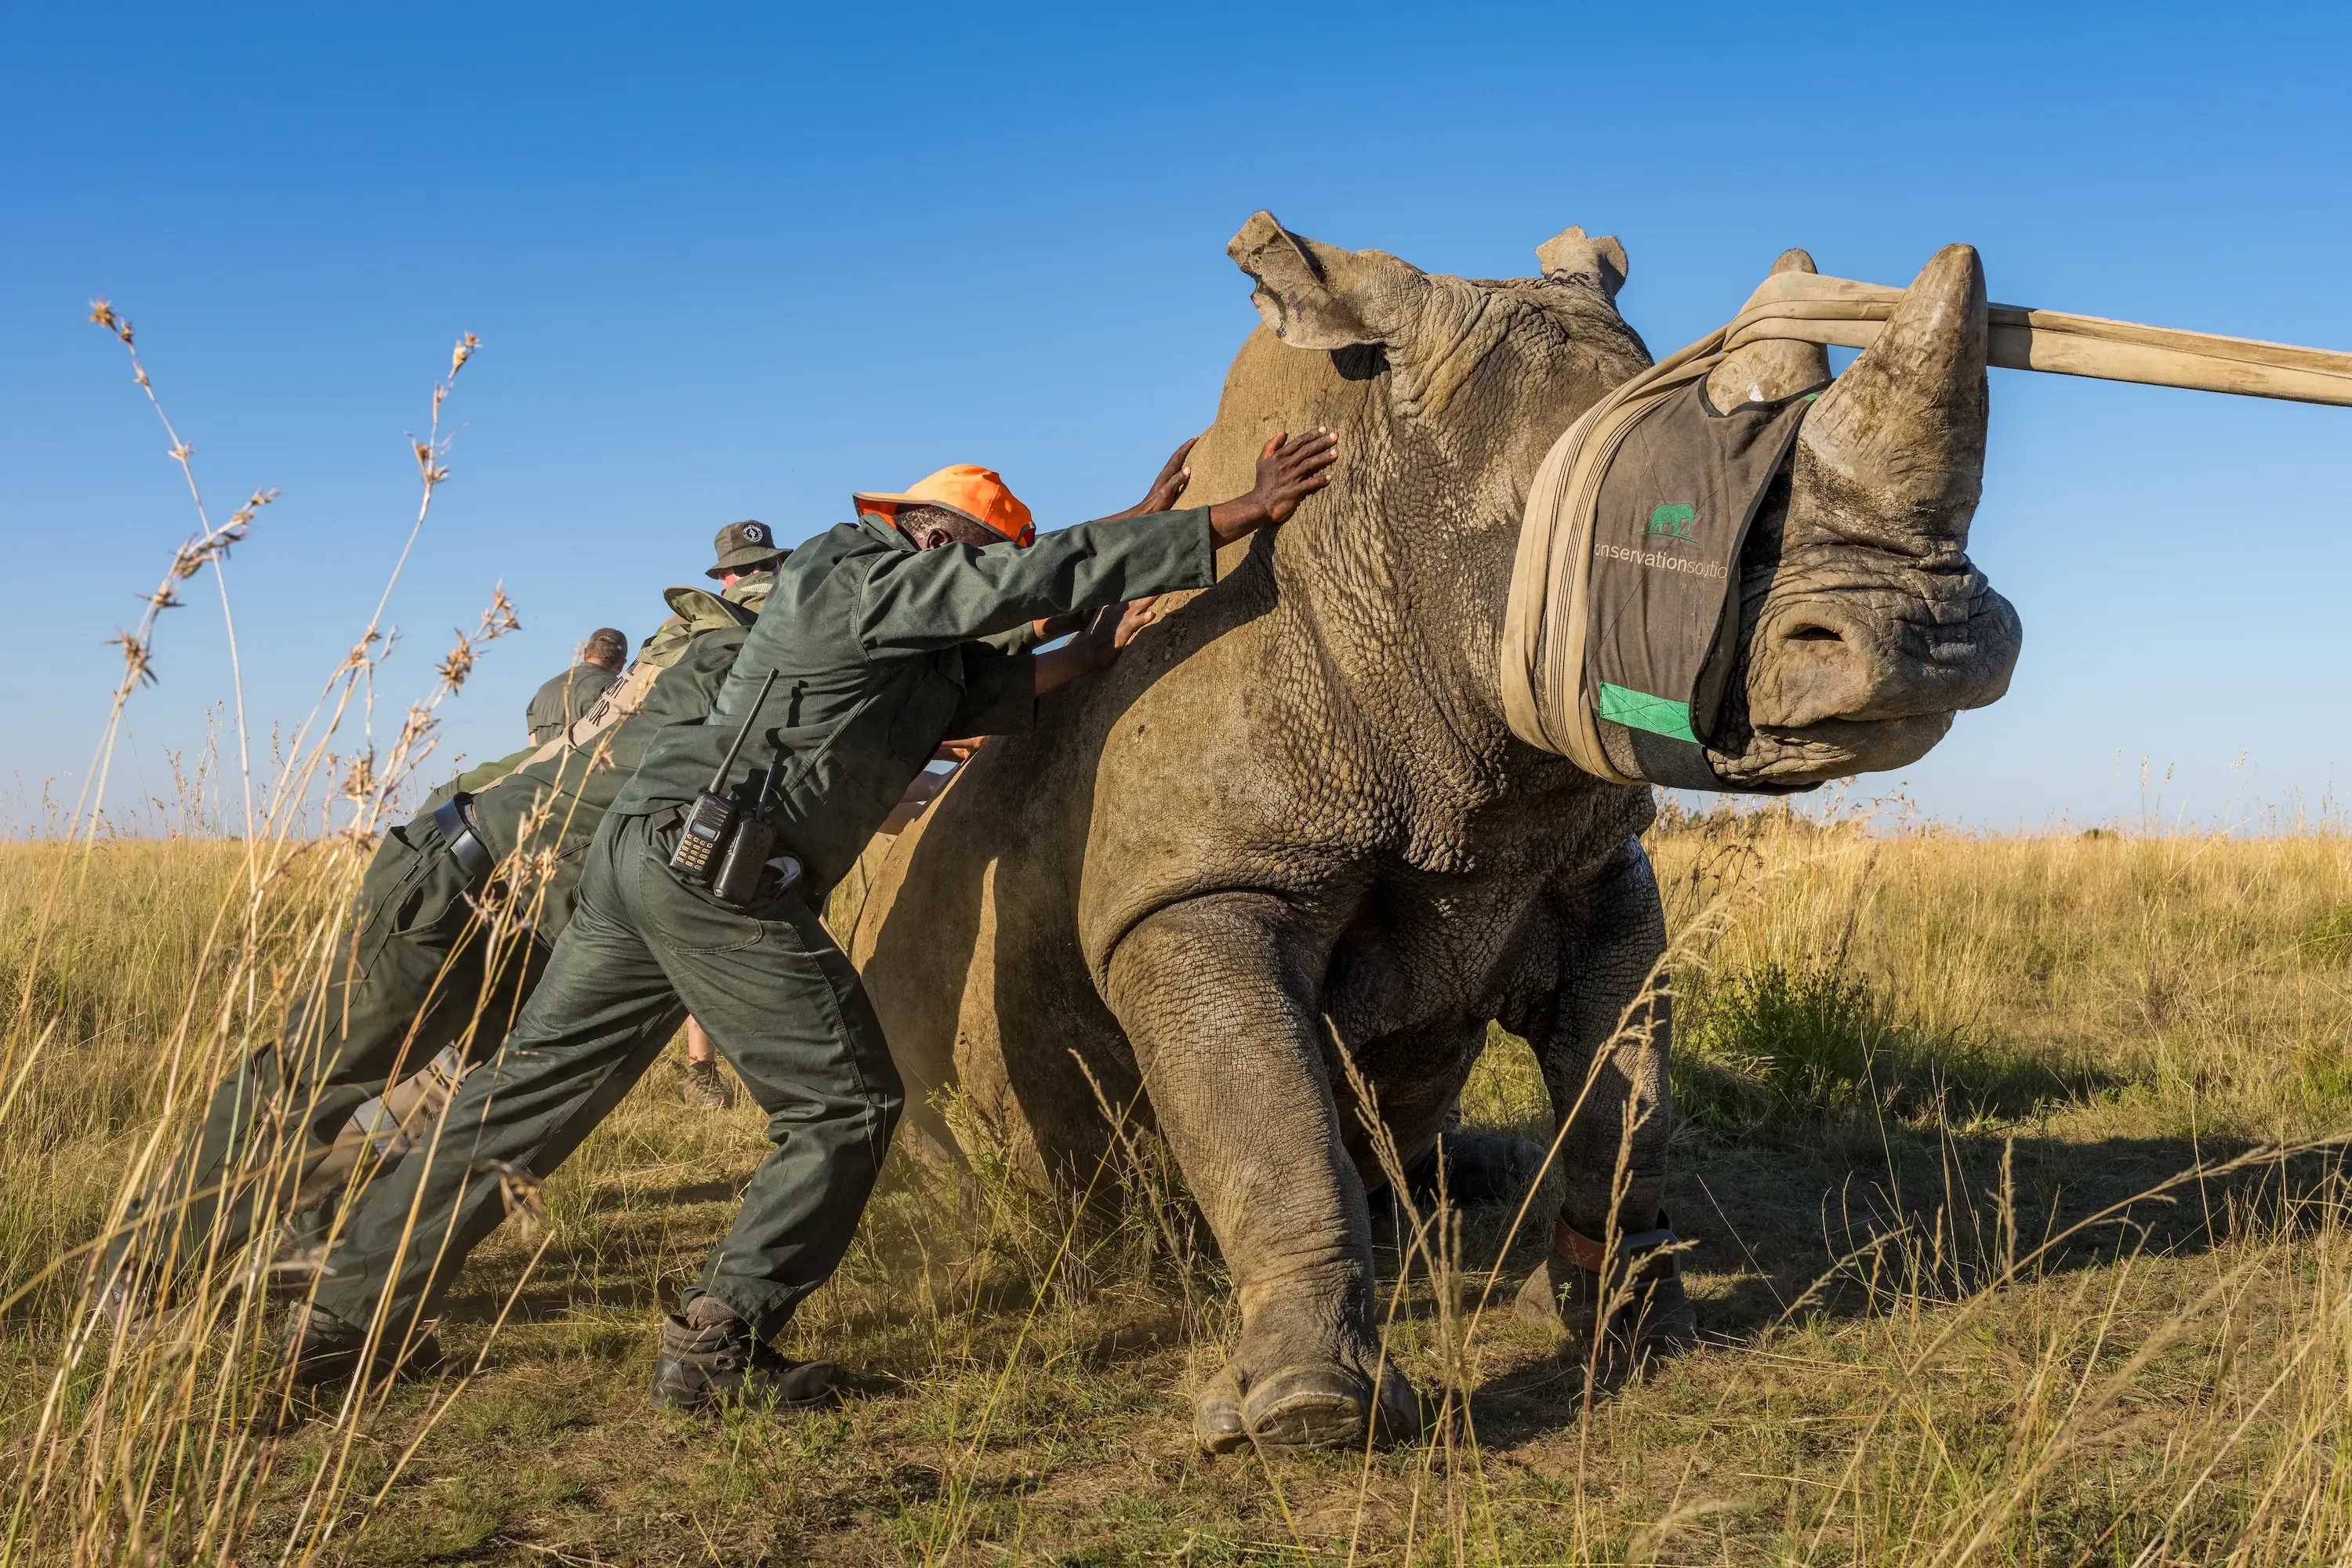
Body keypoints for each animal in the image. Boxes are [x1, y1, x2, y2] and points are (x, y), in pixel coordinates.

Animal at [847, 215, 2023, 1457]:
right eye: (1661, 526)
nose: (1934, 643)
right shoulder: (1193, 892)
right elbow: (1271, 1120)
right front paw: (1307, 1414)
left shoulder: (1593, 862)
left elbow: (1626, 1098)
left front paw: (1633, 1318)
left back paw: (1476, 1176)